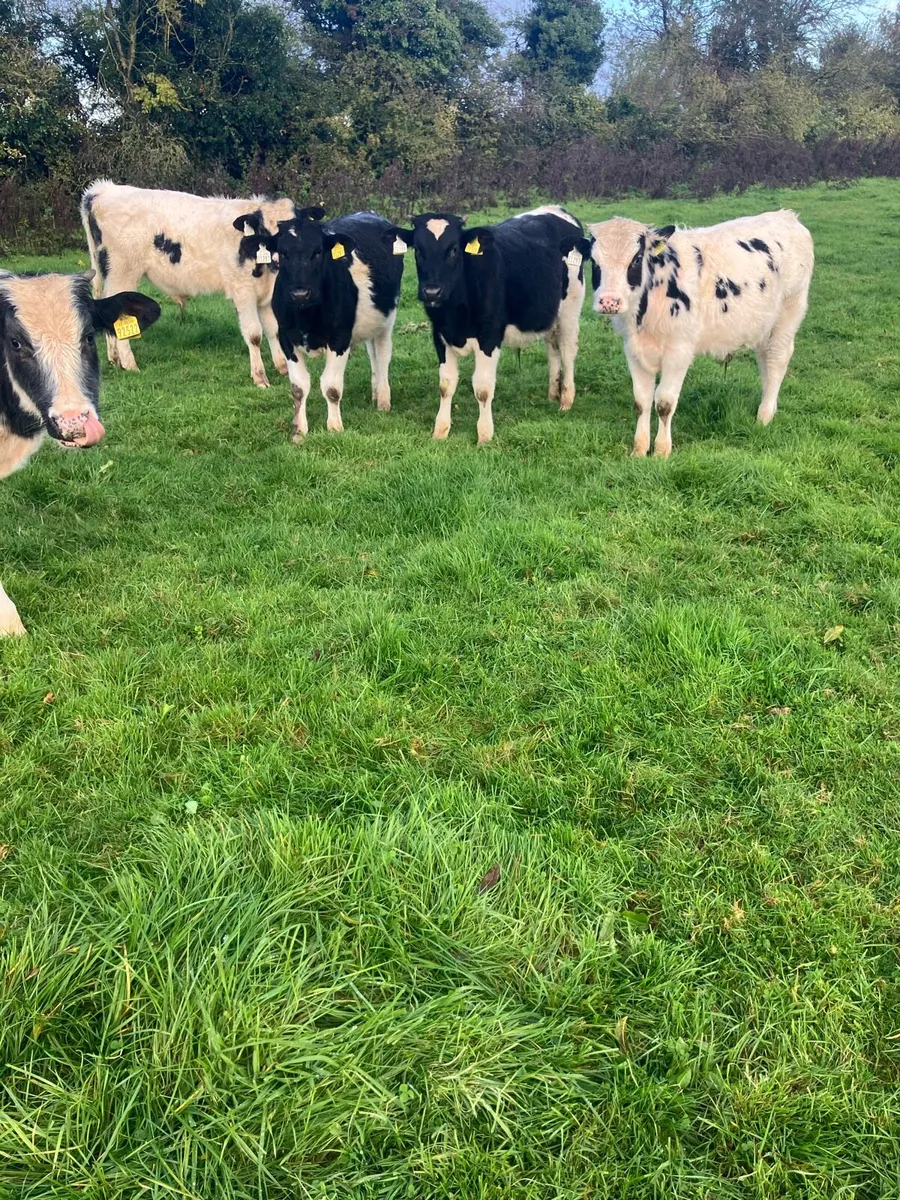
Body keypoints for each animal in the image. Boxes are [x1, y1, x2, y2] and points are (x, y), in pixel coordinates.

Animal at [81, 180, 296, 388]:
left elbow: (274, 330)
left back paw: (115, 358)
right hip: (122, 274)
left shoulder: (266, 294)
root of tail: (103, 189)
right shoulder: (243, 292)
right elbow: (254, 335)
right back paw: (129, 363)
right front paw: (260, 377)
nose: (281, 259)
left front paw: (282, 367)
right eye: (265, 232)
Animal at [254, 207, 407, 441]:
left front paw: (334, 427)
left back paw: (382, 399)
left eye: (318, 252)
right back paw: (374, 392)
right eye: (282, 253)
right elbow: (298, 388)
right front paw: (299, 431)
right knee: (372, 353)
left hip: (387, 319)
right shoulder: (287, 338)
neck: (306, 316)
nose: (300, 293)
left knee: (382, 356)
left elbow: (332, 387)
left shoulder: (340, 338)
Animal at [404, 206, 591, 444]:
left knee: (568, 350)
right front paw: (440, 431)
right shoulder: (440, 334)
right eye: (418, 250)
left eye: (454, 249)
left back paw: (566, 400)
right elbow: (446, 385)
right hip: (549, 313)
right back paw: (552, 394)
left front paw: (484, 435)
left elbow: (483, 388)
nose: (432, 292)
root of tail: (557, 209)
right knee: (553, 347)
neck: (455, 313)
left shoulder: (489, 336)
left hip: (570, 308)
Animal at [588, 209, 814, 457]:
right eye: (594, 262)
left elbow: (664, 402)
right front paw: (639, 450)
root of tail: (787, 216)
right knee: (765, 359)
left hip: (788, 314)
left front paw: (661, 451)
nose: (609, 302)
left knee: (776, 360)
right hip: (762, 325)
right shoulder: (633, 349)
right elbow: (641, 401)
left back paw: (763, 417)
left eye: (636, 259)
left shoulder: (679, 350)